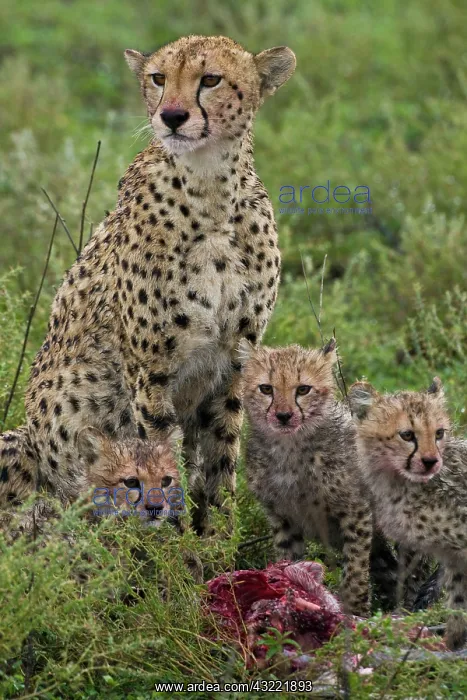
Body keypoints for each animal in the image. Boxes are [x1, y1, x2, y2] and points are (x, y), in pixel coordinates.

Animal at [0, 35, 296, 534]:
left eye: (210, 79)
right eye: (158, 78)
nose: (172, 116)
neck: (210, 188)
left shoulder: (233, 363)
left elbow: (220, 459)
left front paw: (217, 540)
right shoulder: (150, 371)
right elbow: (160, 455)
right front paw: (173, 545)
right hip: (19, 443)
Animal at [240, 338, 403, 617]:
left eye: (303, 389)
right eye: (266, 389)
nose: (283, 416)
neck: (289, 447)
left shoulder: (356, 510)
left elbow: (355, 567)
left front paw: (355, 611)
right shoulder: (282, 516)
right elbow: (289, 559)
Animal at [348, 377, 467, 649]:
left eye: (439, 433)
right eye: (407, 435)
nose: (431, 461)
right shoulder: (454, 557)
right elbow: (457, 603)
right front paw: (450, 644)